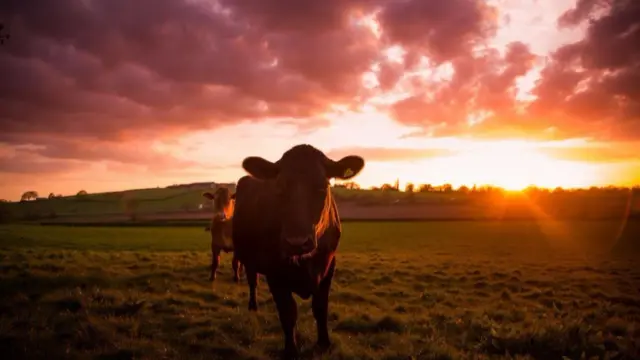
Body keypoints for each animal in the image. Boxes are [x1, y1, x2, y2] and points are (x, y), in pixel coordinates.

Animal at [231, 145, 364, 358]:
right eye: (279, 188)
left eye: (322, 187)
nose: (297, 242)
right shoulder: (275, 273)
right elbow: (288, 313)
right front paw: (291, 350)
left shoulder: (329, 266)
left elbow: (320, 308)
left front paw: (324, 343)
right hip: (248, 257)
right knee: (252, 281)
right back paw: (253, 306)